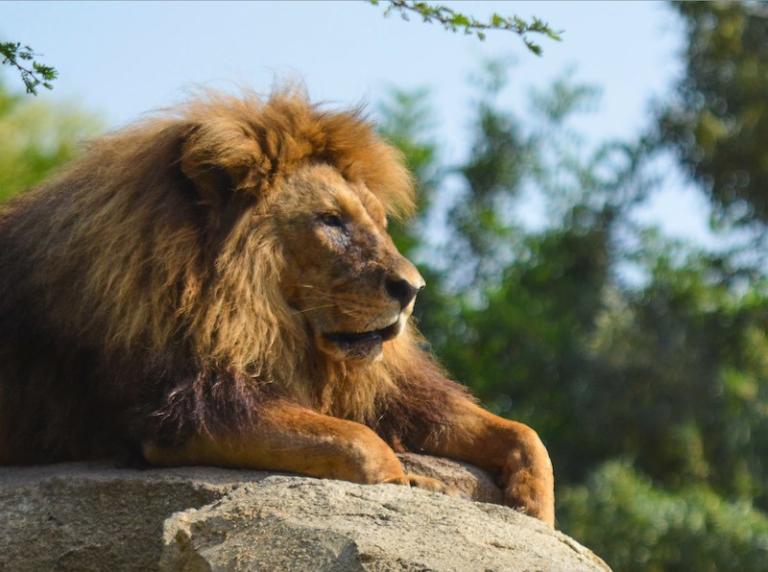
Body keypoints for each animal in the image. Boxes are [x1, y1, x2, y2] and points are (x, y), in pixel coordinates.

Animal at [0, 91, 556, 524]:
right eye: (331, 220)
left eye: (379, 221)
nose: (413, 288)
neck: (262, 323)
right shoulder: (177, 412)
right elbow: (357, 443)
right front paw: (414, 483)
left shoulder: (389, 393)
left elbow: (525, 435)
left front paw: (534, 509)